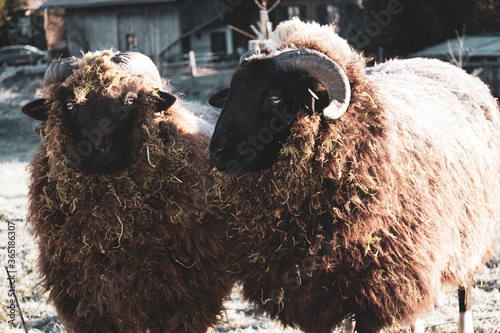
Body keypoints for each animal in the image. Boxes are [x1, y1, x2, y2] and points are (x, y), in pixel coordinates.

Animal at [208, 18, 500, 332]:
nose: (217, 152)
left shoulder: (377, 292)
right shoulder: (312, 296)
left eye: (274, 97)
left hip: (470, 235)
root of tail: (453, 69)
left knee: (465, 291)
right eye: (231, 91)